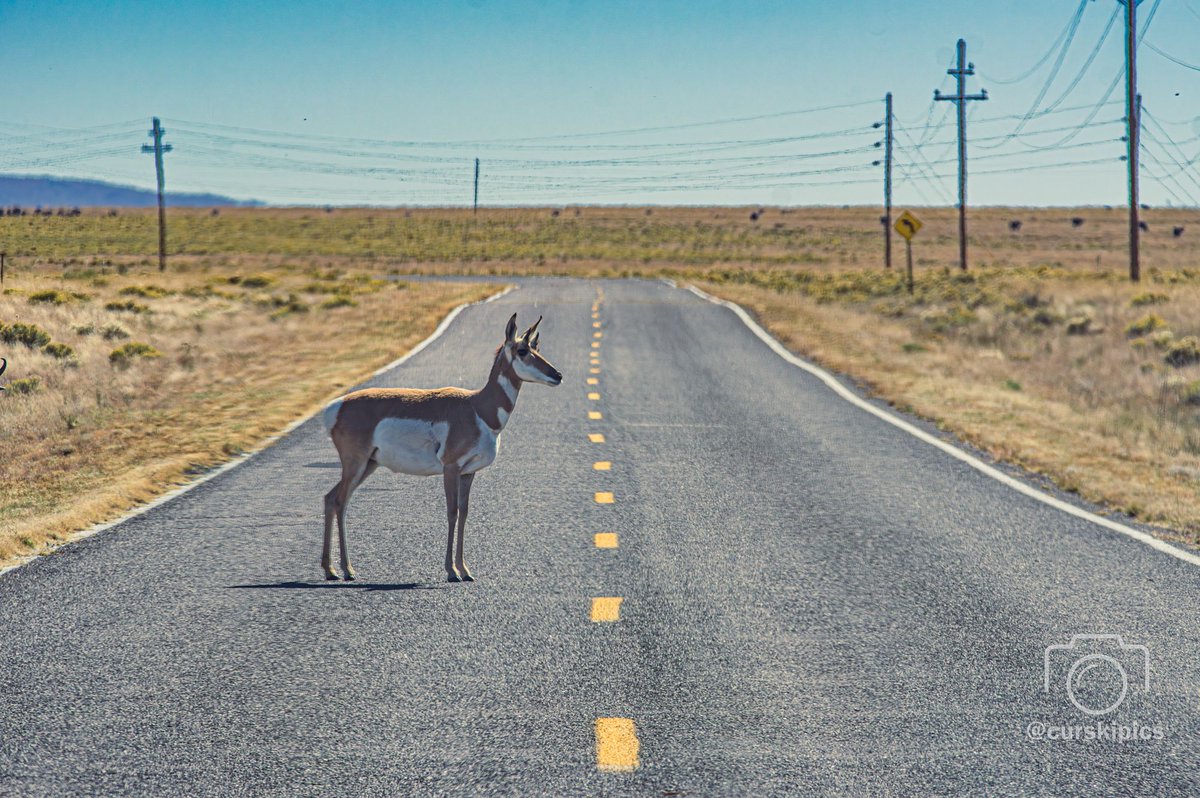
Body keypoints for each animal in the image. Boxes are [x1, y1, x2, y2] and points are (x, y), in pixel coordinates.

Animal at [320, 313, 562, 583]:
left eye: (537, 347)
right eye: (522, 350)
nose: (558, 375)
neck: (478, 407)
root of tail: (337, 406)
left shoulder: (468, 472)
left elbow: (464, 513)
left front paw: (465, 570)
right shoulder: (451, 468)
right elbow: (452, 512)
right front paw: (452, 571)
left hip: (368, 465)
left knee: (331, 498)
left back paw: (331, 570)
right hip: (356, 463)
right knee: (340, 501)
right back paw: (346, 570)